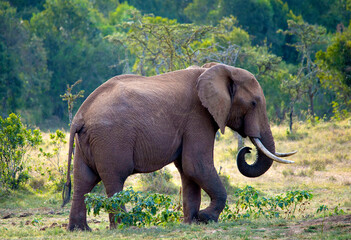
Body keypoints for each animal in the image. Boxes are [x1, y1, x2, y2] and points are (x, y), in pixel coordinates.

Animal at [62, 62, 296, 231]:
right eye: (254, 103)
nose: (247, 150)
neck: (214, 69)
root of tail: (80, 115)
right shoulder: (198, 117)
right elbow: (196, 166)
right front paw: (205, 218)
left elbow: (187, 170)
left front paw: (192, 222)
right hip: (111, 139)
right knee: (114, 179)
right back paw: (124, 227)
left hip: (88, 143)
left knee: (84, 180)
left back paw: (80, 230)